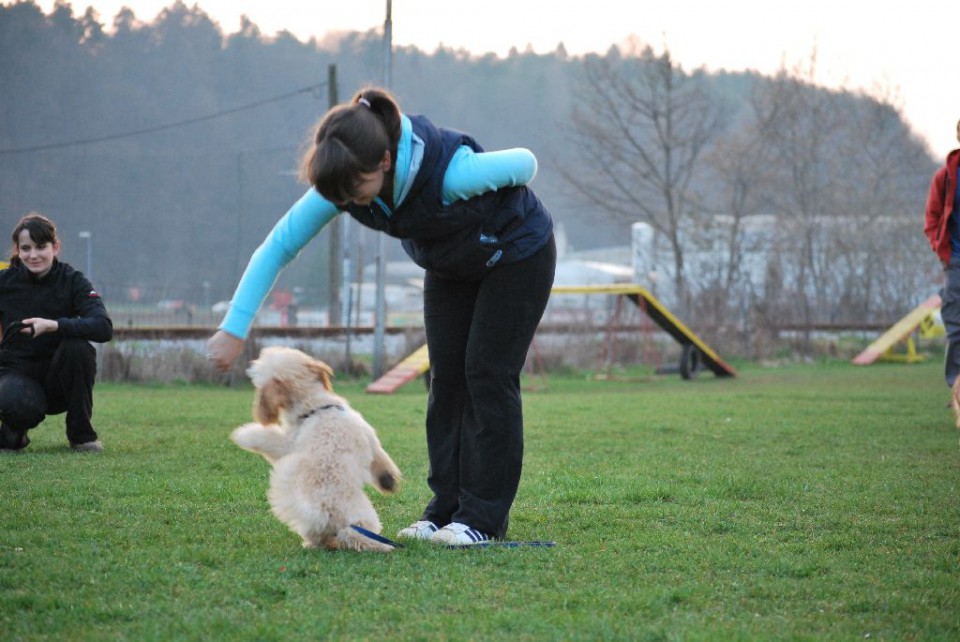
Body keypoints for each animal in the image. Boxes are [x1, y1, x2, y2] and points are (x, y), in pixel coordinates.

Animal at [232, 344, 402, 552]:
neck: (313, 407)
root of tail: (322, 511)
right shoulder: (370, 440)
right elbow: (382, 462)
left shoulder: (289, 445)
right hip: (363, 519)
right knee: (356, 539)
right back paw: (383, 546)